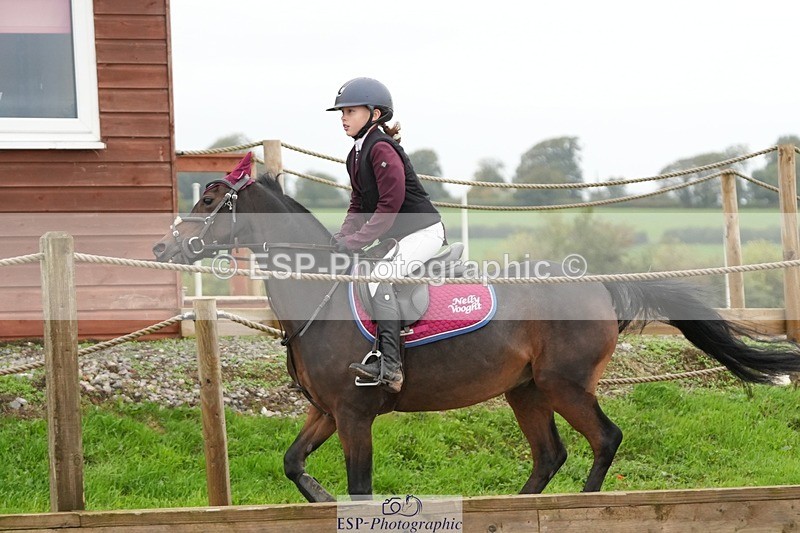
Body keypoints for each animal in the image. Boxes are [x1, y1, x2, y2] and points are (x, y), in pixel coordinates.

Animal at [153, 170, 800, 502]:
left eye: (208, 198)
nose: (161, 247)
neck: (321, 294)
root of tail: (599, 284)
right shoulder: (329, 410)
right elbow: (292, 463)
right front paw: (319, 497)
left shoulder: (355, 415)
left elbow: (360, 488)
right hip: (526, 390)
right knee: (550, 455)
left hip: (565, 384)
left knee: (605, 439)